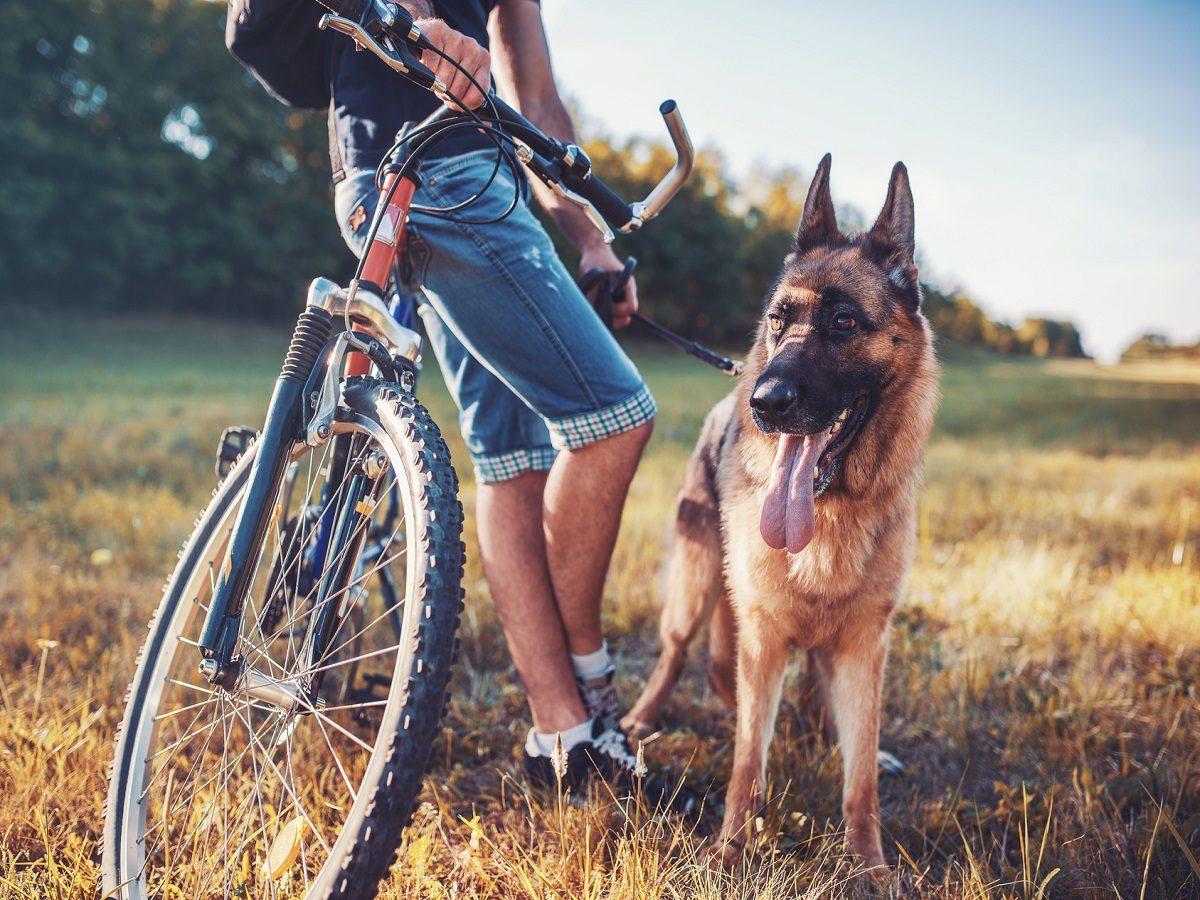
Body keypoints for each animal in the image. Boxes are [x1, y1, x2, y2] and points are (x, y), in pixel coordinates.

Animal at [624, 154, 940, 873]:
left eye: (845, 322)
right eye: (777, 318)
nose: (766, 403)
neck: (830, 510)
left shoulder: (864, 642)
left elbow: (860, 777)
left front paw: (870, 865)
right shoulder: (762, 636)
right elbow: (748, 761)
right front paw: (729, 853)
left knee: (823, 703)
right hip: (695, 590)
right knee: (677, 656)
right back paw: (642, 718)